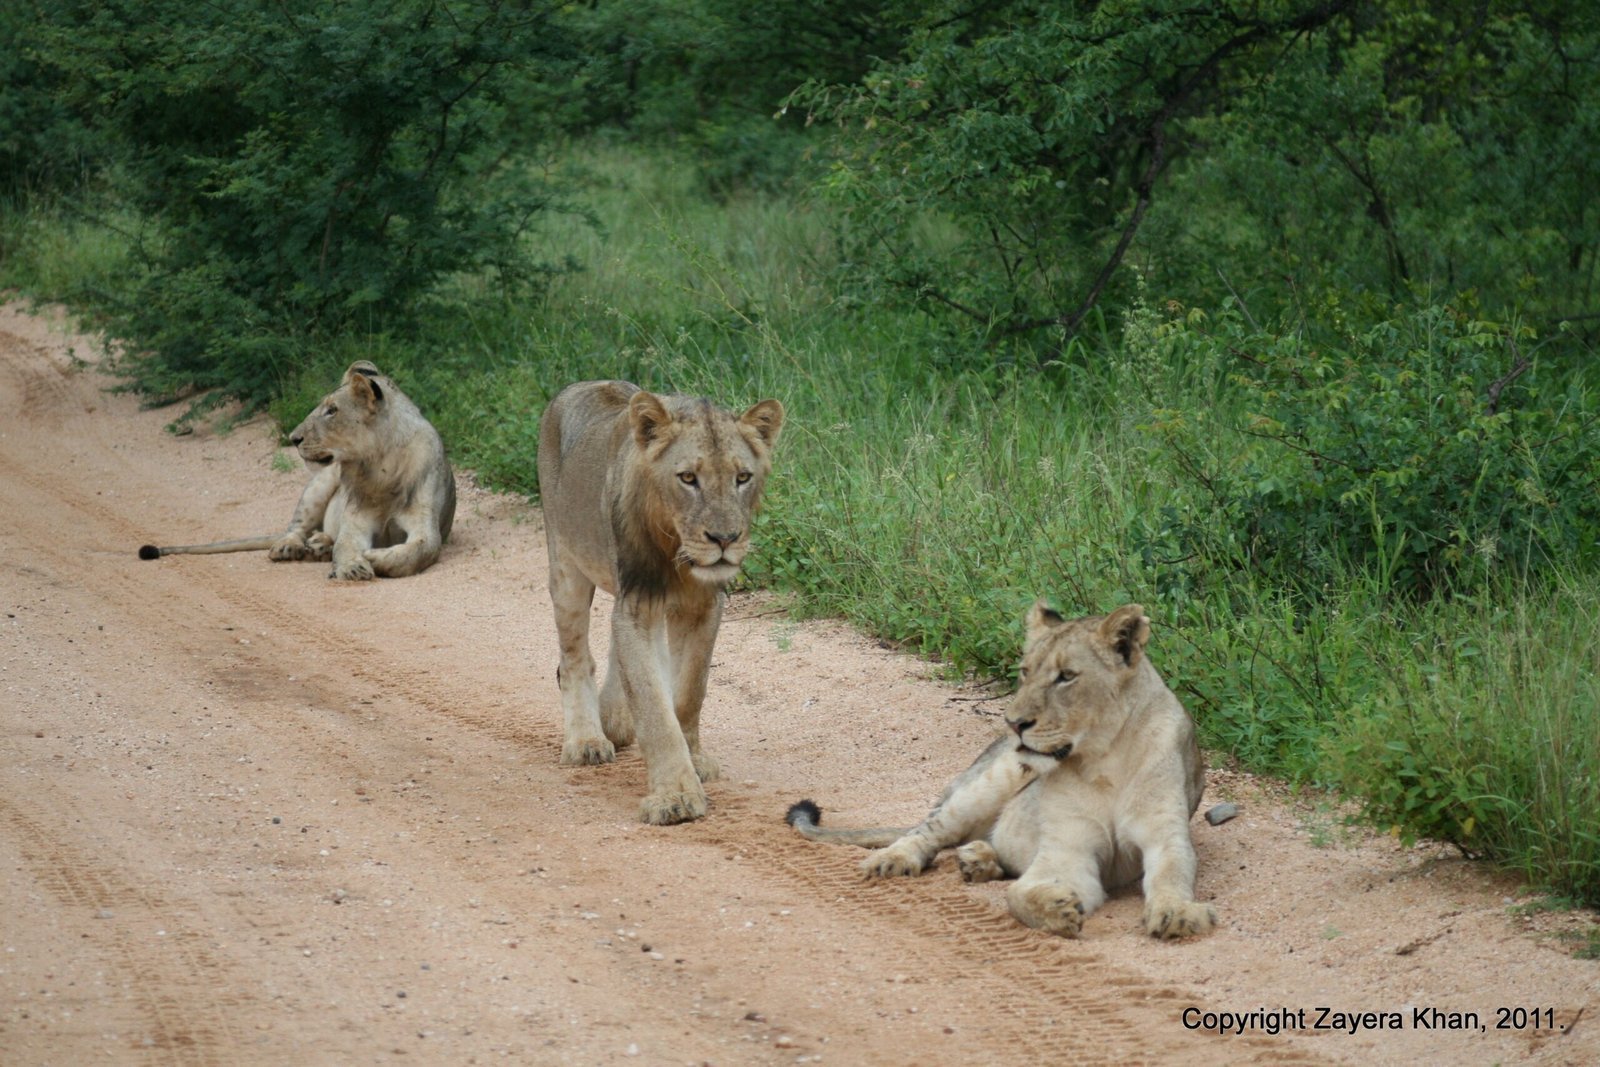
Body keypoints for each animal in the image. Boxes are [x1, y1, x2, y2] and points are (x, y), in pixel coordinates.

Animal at [138, 361, 456, 581]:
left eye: (331, 410)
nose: (293, 438)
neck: (379, 464)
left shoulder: (425, 525)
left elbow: (418, 550)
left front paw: (372, 557)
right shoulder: (356, 521)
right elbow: (346, 545)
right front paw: (352, 565)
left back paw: (319, 547)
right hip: (320, 483)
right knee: (296, 528)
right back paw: (293, 547)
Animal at [538, 380, 784, 825]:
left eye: (742, 477)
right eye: (688, 478)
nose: (725, 539)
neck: (677, 553)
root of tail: (580, 385)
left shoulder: (704, 606)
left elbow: (688, 694)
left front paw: (695, 762)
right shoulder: (638, 604)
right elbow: (654, 708)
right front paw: (675, 797)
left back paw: (614, 720)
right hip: (565, 565)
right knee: (574, 658)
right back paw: (586, 740)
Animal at [786, 602, 1217, 940]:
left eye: (1066, 676)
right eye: (1025, 671)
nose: (1014, 723)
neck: (1103, 759)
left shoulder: (1165, 834)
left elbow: (1171, 874)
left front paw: (1177, 914)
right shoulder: (1066, 848)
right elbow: (1018, 895)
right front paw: (1055, 909)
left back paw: (978, 860)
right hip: (993, 779)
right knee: (927, 829)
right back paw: (895, 860)